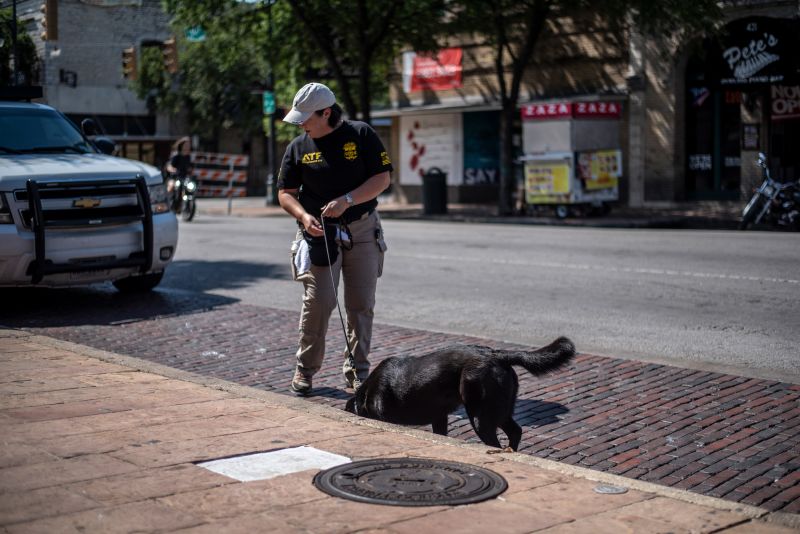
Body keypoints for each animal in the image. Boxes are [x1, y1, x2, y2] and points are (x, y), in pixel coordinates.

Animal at [344, 340, 576, 452]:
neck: (365, 393)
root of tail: (496, 354)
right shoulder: (439, 417)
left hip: (480, 415)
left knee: (495, 440)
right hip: (500, 410)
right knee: (516, 431)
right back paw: (511, 451)